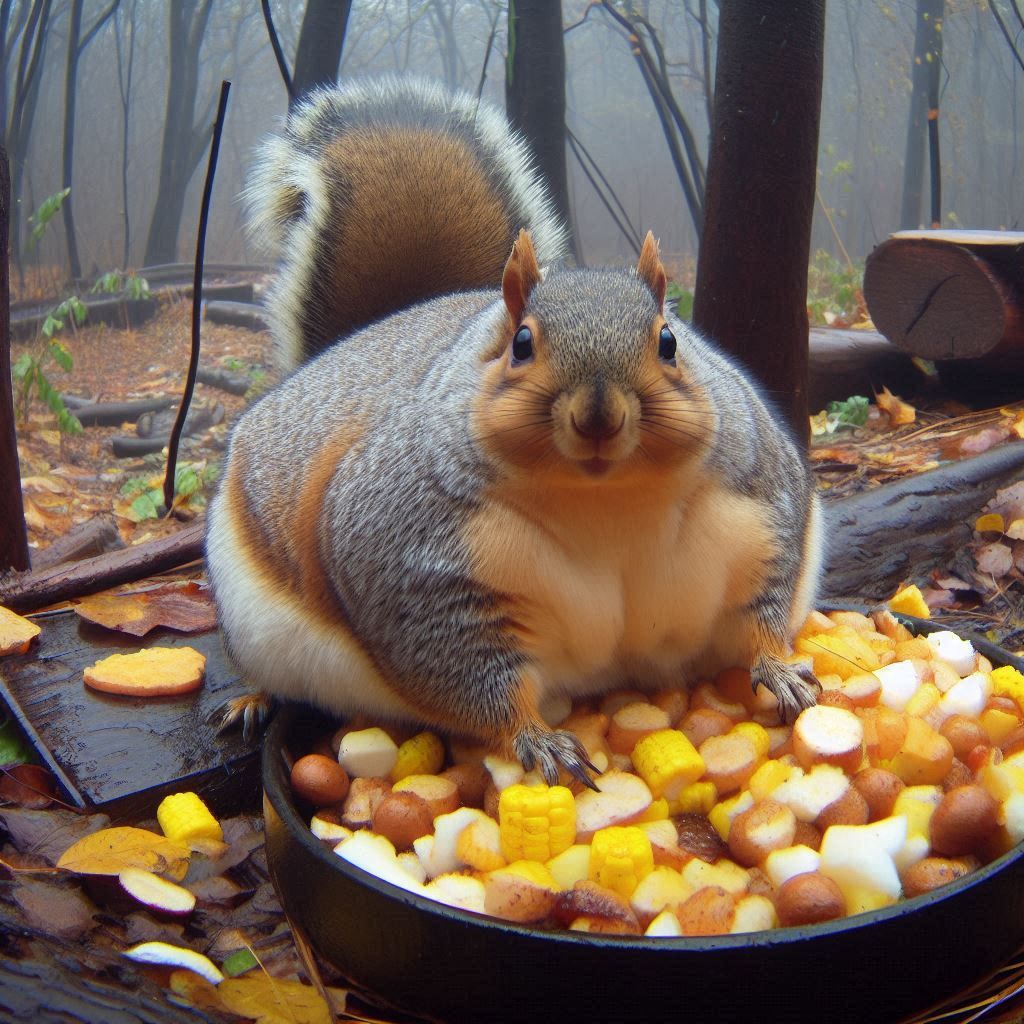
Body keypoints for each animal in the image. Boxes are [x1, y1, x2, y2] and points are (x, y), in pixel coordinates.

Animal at [205, 75, 824, 786]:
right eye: (521, 344)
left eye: (670, 341)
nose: (598, 416)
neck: (609, 507)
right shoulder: (412, 561)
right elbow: (472, 680)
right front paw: (537, 738)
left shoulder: (760, 510)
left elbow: (762, 612)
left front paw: (780, 669)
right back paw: (250, 699)